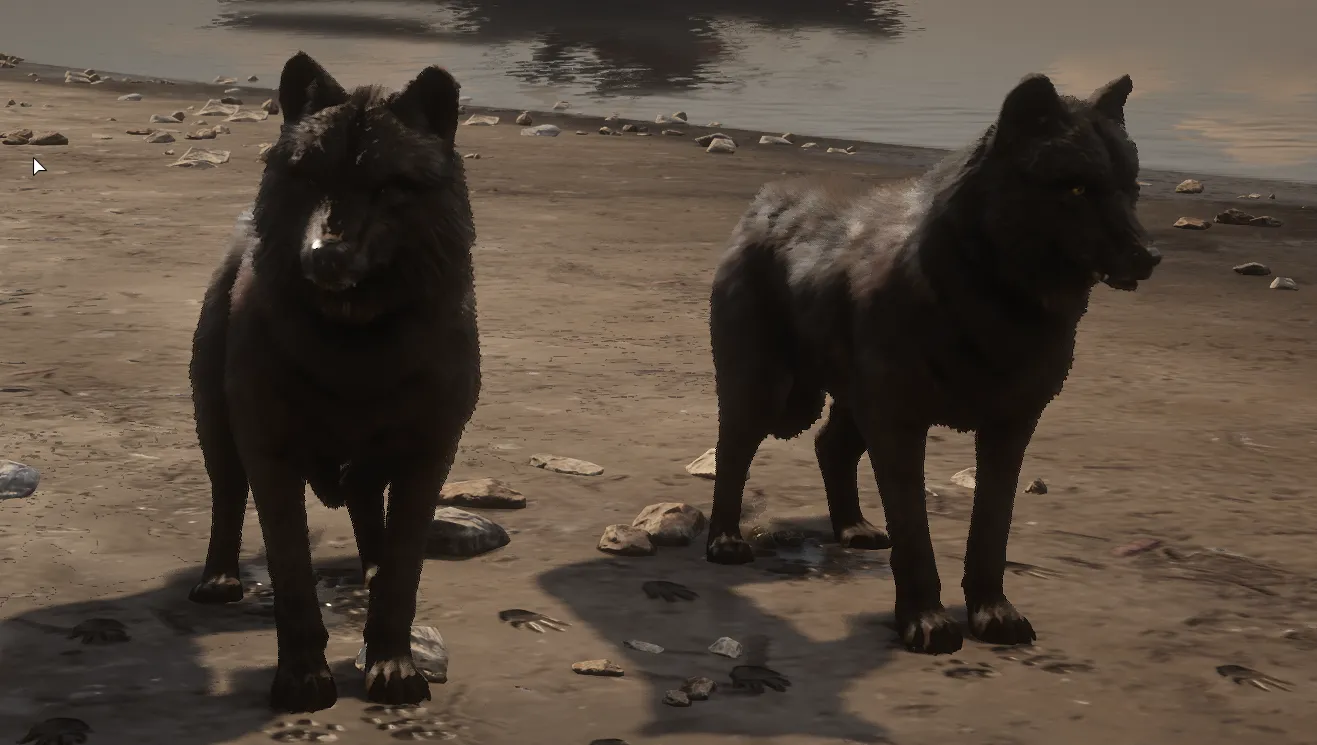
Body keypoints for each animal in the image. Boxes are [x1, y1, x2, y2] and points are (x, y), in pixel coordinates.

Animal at [186, 52, 480, 712]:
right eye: (310, 178)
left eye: (390, 187)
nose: (326, 255)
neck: (354, 346)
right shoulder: (270, 458)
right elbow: (292, 575)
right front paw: (302, 679)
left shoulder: (427, 458)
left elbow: (402, 575)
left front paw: (393, 666)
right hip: (216, 432)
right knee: (225, 499)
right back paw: (219, 578)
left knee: (371, 515)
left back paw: (370, 567)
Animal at [704, 73, 1159, 655]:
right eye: (1078, 189)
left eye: (1131, 188)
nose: (1150, 257)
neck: (984, 288)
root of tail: (767, 199)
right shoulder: (900, 427)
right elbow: (915, 537)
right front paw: (925, 620)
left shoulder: (1007, 431)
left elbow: (990, 531)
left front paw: (993, 612)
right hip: (765, 390)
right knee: (733, 456)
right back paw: (724, 541)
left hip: (850, 399)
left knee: (830, 446)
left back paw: (852, 528)